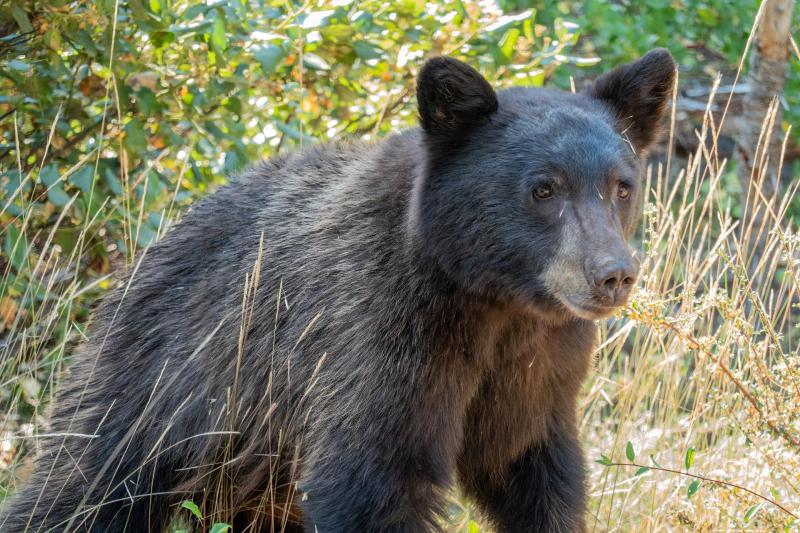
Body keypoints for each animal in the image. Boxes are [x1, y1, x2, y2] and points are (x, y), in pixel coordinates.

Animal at [1, 47, 676, 528]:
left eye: (620, 185)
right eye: (544, 188)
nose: (613, 273)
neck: (489, 297)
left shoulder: (539, 364)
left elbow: (532, 467)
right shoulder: (379, 332)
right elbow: (373, 478)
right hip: (162, 381)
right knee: (80, 486)